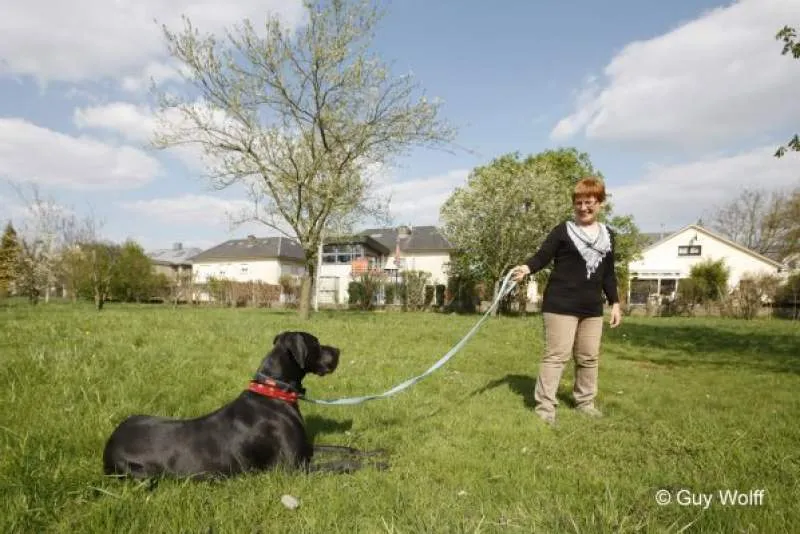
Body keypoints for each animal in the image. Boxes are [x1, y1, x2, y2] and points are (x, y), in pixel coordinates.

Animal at [101, 330, 390, 482]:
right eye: (316, 343)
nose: (339, 351)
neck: (274, 392)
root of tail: (109, 443)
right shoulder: (293, 469)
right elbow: (340, 463)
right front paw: (377, 466)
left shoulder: (306, 449)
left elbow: (345, 449)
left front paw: (377, 452)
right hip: (144, 474)